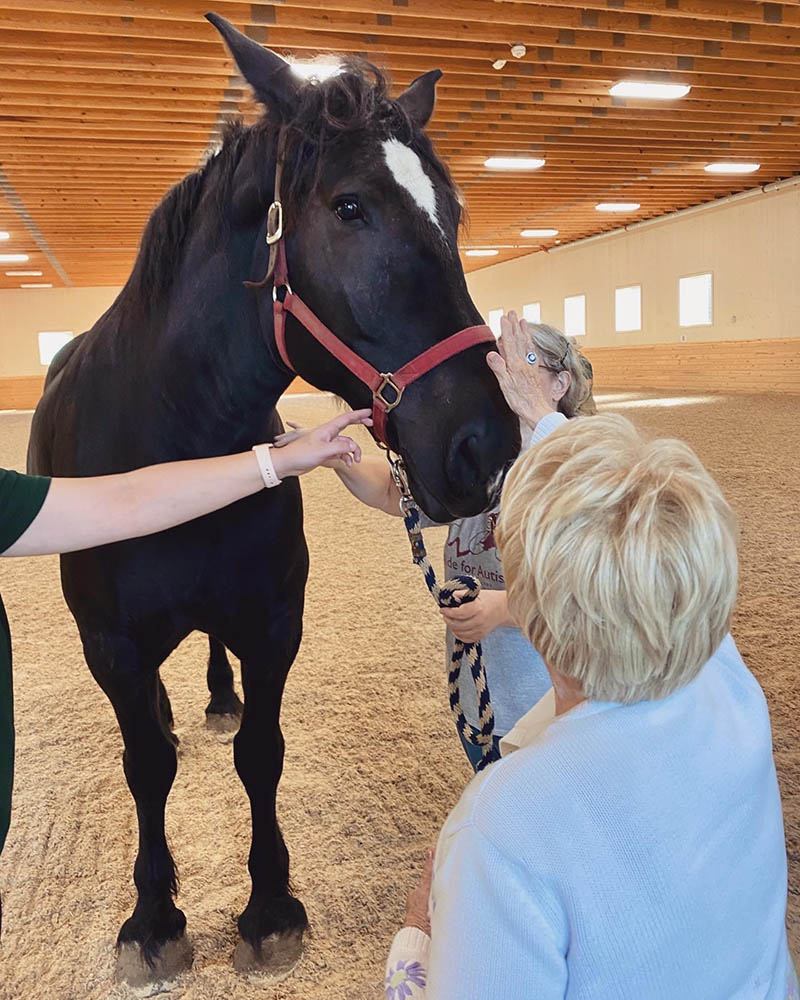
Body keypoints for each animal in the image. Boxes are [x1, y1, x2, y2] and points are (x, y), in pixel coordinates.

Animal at [26, 14, 519, 985]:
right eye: (350, 206)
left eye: (451, 216)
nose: (486, 445)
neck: (173, 431)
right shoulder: (111, 646)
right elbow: (147, 764)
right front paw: (154, 918)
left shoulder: (271, 622)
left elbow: (262, 753)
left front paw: (269, 907)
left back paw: (217, 697)